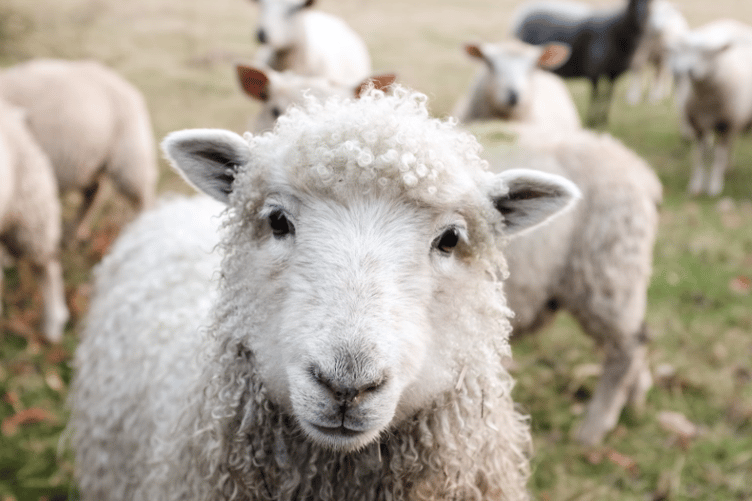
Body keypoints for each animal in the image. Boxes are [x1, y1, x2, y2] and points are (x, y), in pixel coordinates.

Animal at [0, 59, 157, 241]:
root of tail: (127, 86)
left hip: (129, 155)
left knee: (141, 196)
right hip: (90, 162)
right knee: (94, 193)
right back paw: (76, 232)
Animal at [512, 0, 652, 126]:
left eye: (651, 2)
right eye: (634, 1)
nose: (643, 16)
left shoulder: (614, 73)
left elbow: (608, 96)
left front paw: (603, 120)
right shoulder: (594, 70)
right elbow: (596, 96)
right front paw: (592, 120)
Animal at [670, 19, 752, 196]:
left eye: (709, 53)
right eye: (686, 50)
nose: (689, 70)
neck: (706, 100)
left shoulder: (726, 124)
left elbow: (718, 156)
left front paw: (715, 186)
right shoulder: (698, 125)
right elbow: (699, 156)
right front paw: (696, 185)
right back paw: (728, 168)